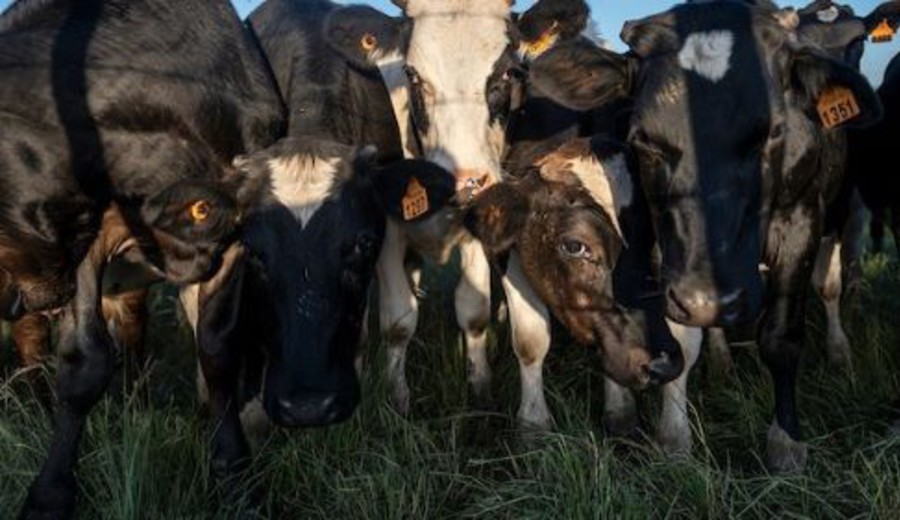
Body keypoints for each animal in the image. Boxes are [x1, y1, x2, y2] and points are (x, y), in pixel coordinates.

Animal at [322, 0, 684, 431]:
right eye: (411, 74)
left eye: (510, 72)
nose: (463, 181)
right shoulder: (389, 228)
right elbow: (398, 321)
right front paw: (396, 400)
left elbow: (476, 313)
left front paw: (481, 389)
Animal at [528, 0, 883, 470]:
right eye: (644, 139)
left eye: (774, 132)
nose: (706, 300)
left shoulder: (803, 220)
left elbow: (782, 336)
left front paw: (786, 442)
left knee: (830, 284)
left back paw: (839, 349)